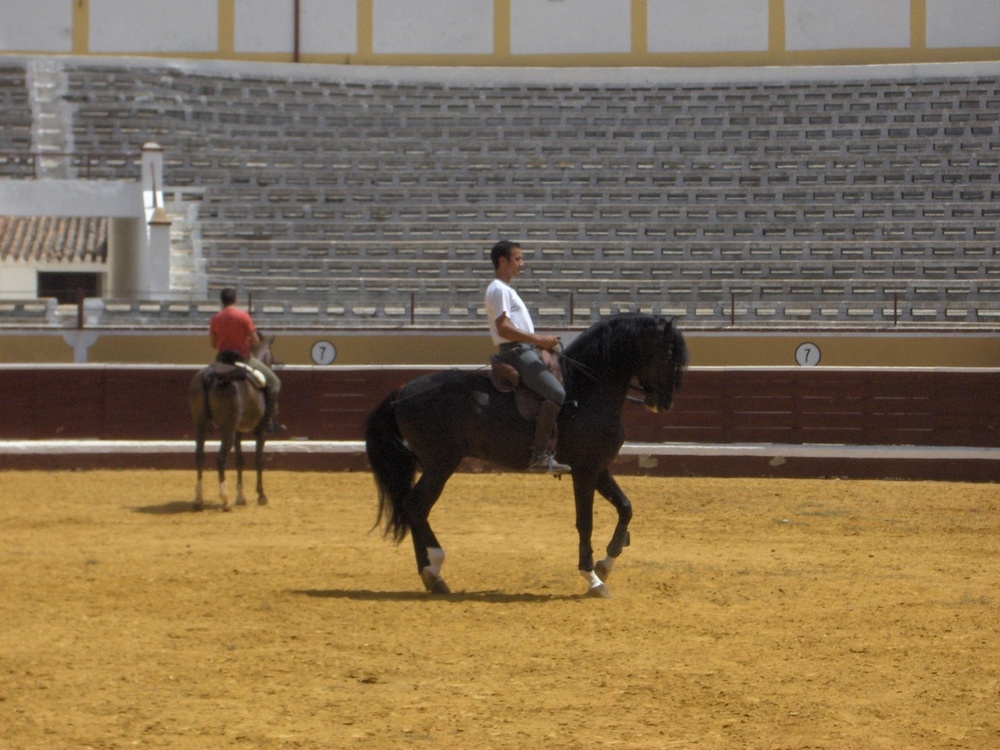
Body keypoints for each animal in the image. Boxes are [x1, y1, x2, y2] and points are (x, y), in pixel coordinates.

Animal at [187, 338, 274, 516]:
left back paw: (198, 501)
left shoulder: (238, 431)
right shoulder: (260, 431)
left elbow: (239, 459)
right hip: (228, 429)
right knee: (220, 458)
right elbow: (258, 459)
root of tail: (211, 374)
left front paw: (241, 497)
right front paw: (261, 495)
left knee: (199, 456)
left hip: (201, 426)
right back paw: (225, 501)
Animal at [368, 312, 688, 600]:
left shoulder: (598, 468)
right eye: (668, 355)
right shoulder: (584, 471)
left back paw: (432, 577)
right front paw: (593, 578)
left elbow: (625, 507)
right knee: (416, 506)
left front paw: (606, 562)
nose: (664, 404)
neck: (587, 391)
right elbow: (585, 521)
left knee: (414, 508)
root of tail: (402, 391)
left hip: (437, 465)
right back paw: (433, 569)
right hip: (440, 465)